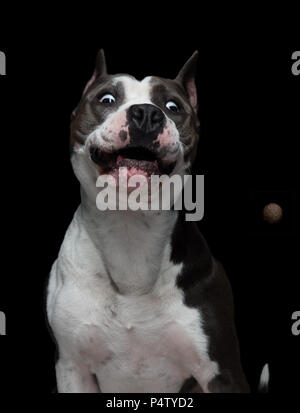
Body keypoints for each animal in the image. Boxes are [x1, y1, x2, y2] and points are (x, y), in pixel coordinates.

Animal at [47, 50, 250, 392]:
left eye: (173, 107)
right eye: (107, 98)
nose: (146, 114)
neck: (130, 232)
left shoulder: (222, 371)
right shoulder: (73, 368)